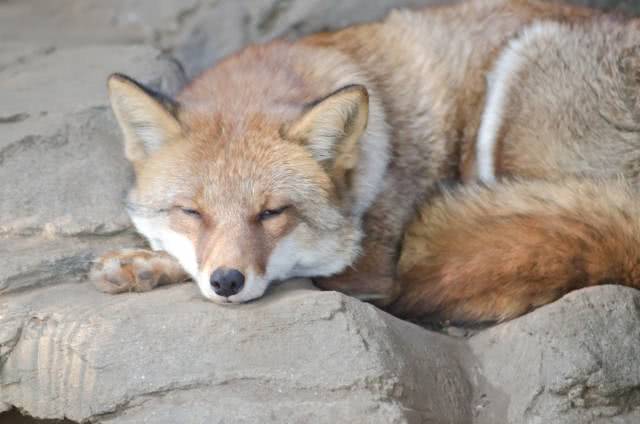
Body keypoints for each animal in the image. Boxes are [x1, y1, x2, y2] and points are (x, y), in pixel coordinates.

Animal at [91, 0, 640, 322]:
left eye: (272, 213)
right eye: (191, 212)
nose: (227, 282)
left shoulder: (367, 270)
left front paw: (147, 264)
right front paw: (142, 263)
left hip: (515, 91)